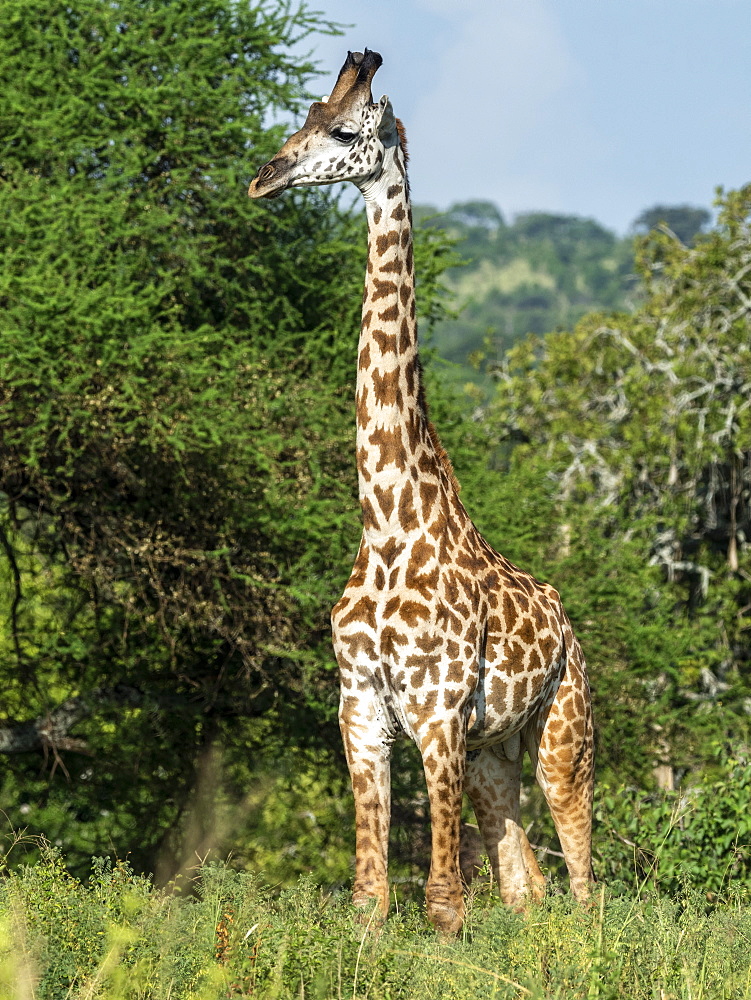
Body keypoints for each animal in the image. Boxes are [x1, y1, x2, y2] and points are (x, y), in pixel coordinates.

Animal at [250, 50, 596, 932]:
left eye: (344, 132)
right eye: (302, 117)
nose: (265, 178)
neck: (386, 523)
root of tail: (567, 624)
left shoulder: (437, 712)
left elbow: (442, 900)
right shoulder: (360, 709)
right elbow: (370, 897)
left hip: (561, 734)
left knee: (585, 878)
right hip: (491, 755)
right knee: (525, 885)